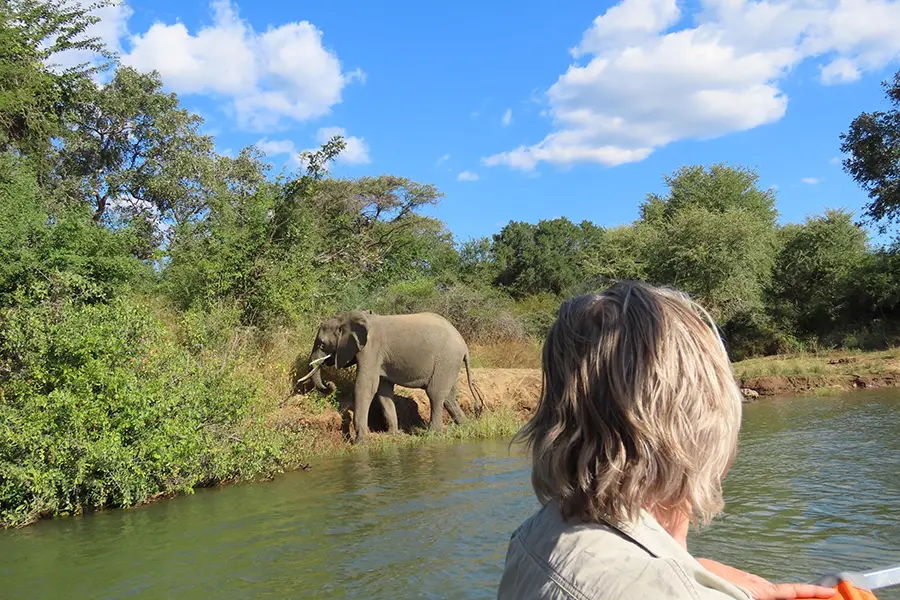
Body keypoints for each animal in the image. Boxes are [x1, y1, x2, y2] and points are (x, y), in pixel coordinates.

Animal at [294, 312, 486, 442]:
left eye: (322, 344)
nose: (329, 383)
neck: (347, 317)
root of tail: (464, 346)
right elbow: (383, 391)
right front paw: (392, 434)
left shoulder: (370, 349)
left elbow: (365, 386)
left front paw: (360, 441)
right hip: (449, 364)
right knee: (449, 397)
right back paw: (466, 426)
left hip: (446, 359)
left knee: (435, 394)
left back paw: (433, 434)